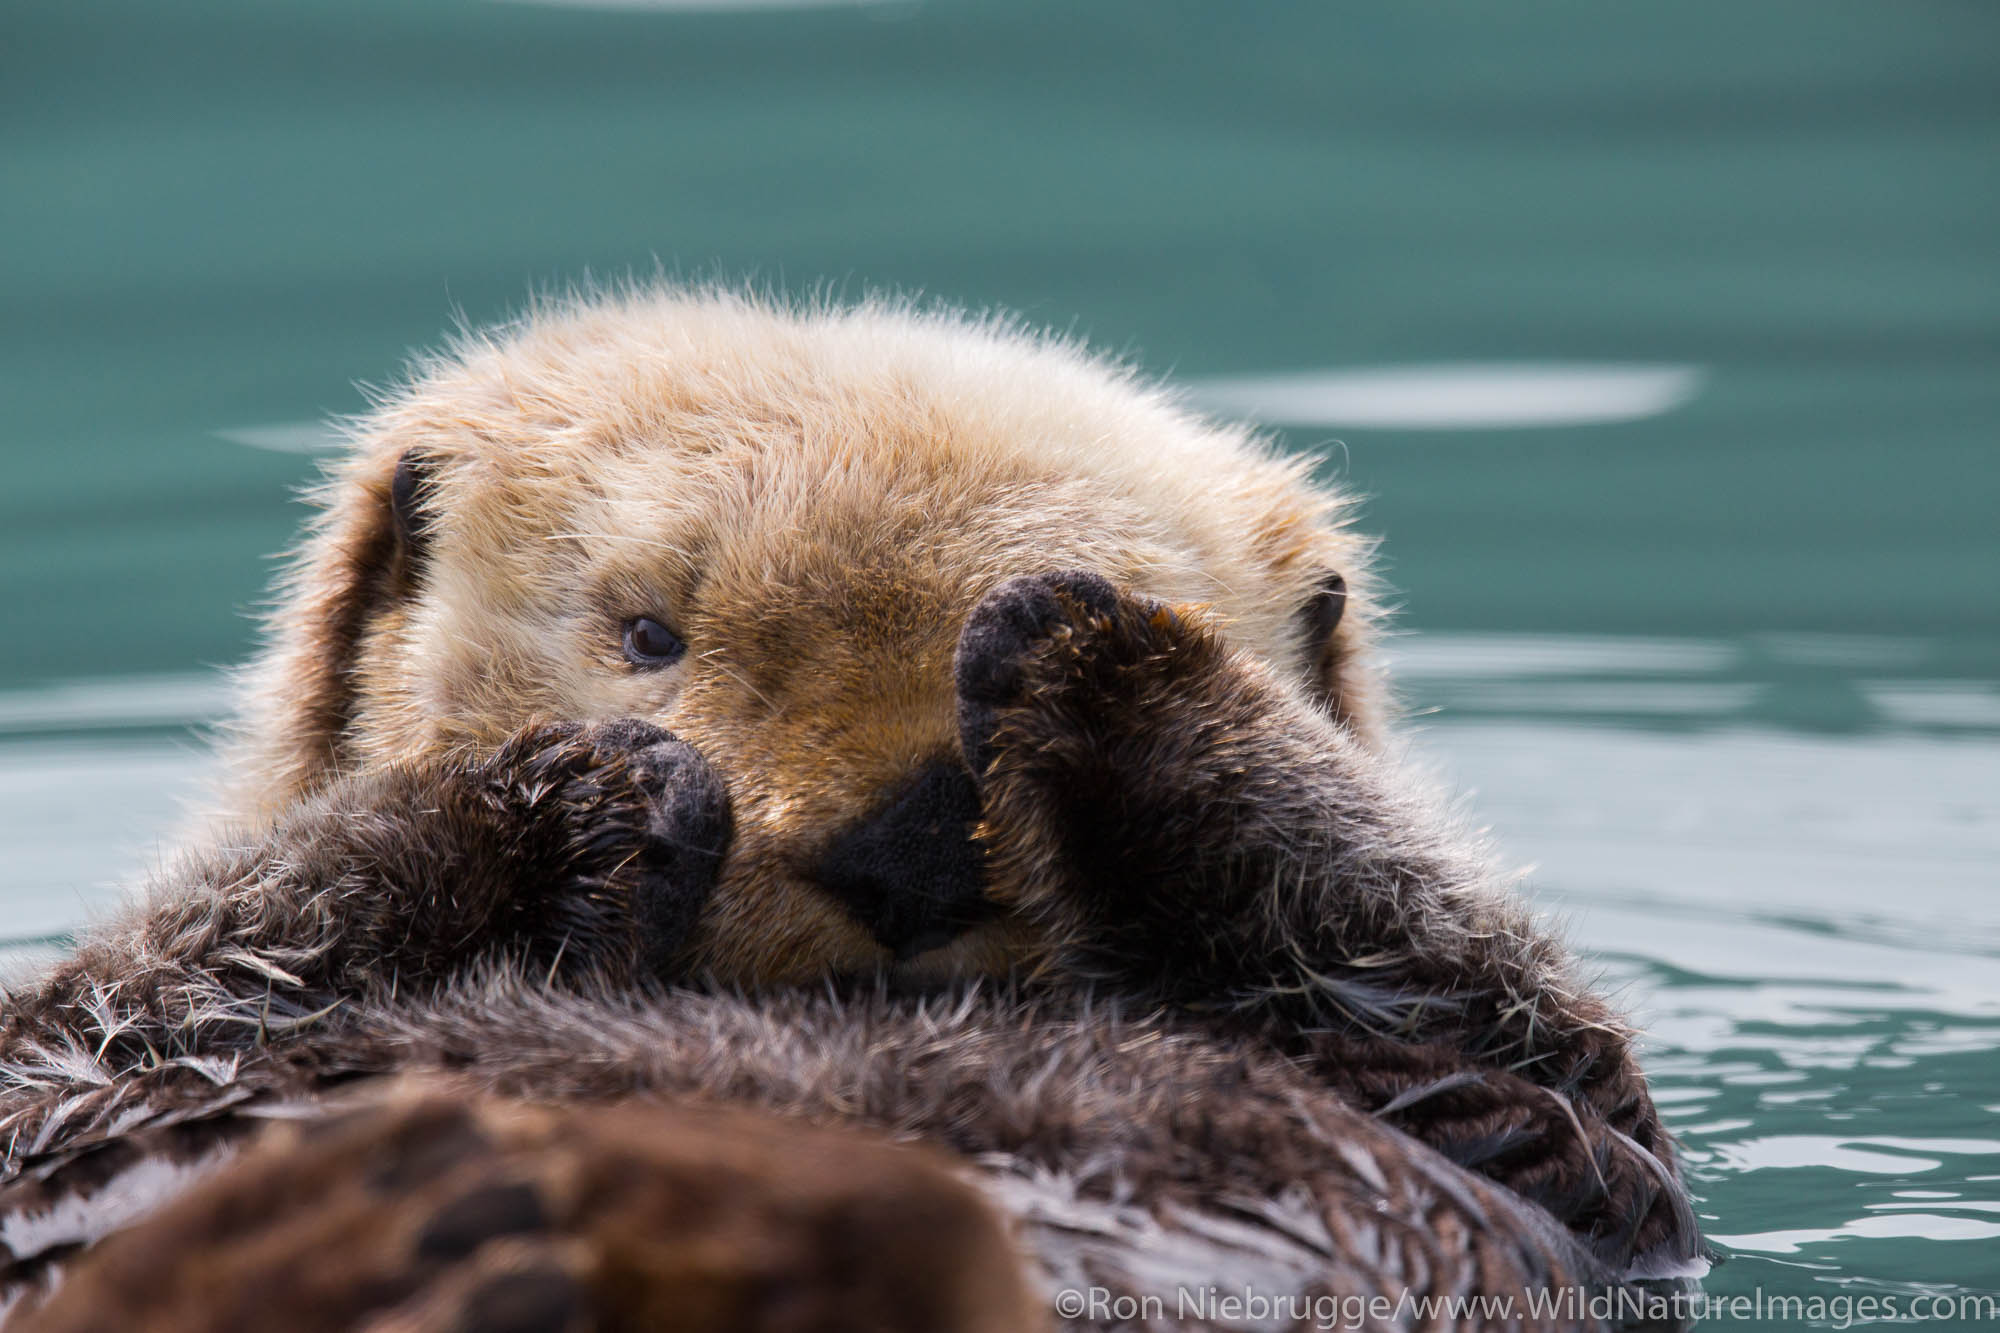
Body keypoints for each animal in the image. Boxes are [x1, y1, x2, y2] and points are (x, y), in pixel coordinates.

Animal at [0, 286, 1696, 1320]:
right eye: (649, 635)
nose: (905, 851)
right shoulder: (111, 1035)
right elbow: (139, 987)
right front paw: (589, 791)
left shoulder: (1546, 1144)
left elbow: (1504, 1014)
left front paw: (1087, 643)